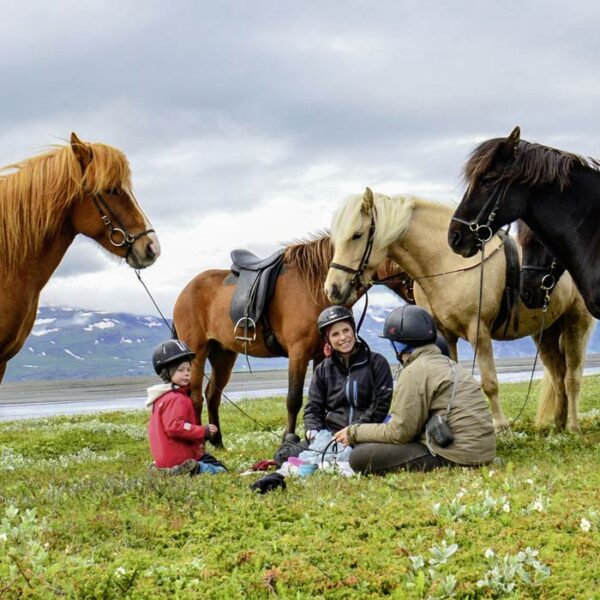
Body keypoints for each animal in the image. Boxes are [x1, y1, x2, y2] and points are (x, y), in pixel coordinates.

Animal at [171, 232, 410, 448]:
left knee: (212, 395)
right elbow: (294, 399)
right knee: (195, 397)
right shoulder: (298, 352)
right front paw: (289, 438)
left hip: (223, 355)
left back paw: (218, 442)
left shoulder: (321, 355)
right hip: (197, 353)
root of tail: (184, 292)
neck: (314, 286)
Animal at [326, 191, 592, 432]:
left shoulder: (478, 331)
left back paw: (572, 428)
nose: (332, 289)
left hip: (575, 323)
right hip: (546, 333)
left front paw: (501, 428)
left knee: (571, 377)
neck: (448, 262)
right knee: (557, 376)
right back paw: (557, 427)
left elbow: (489, 382)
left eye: (357, 235)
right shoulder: (447, 335)